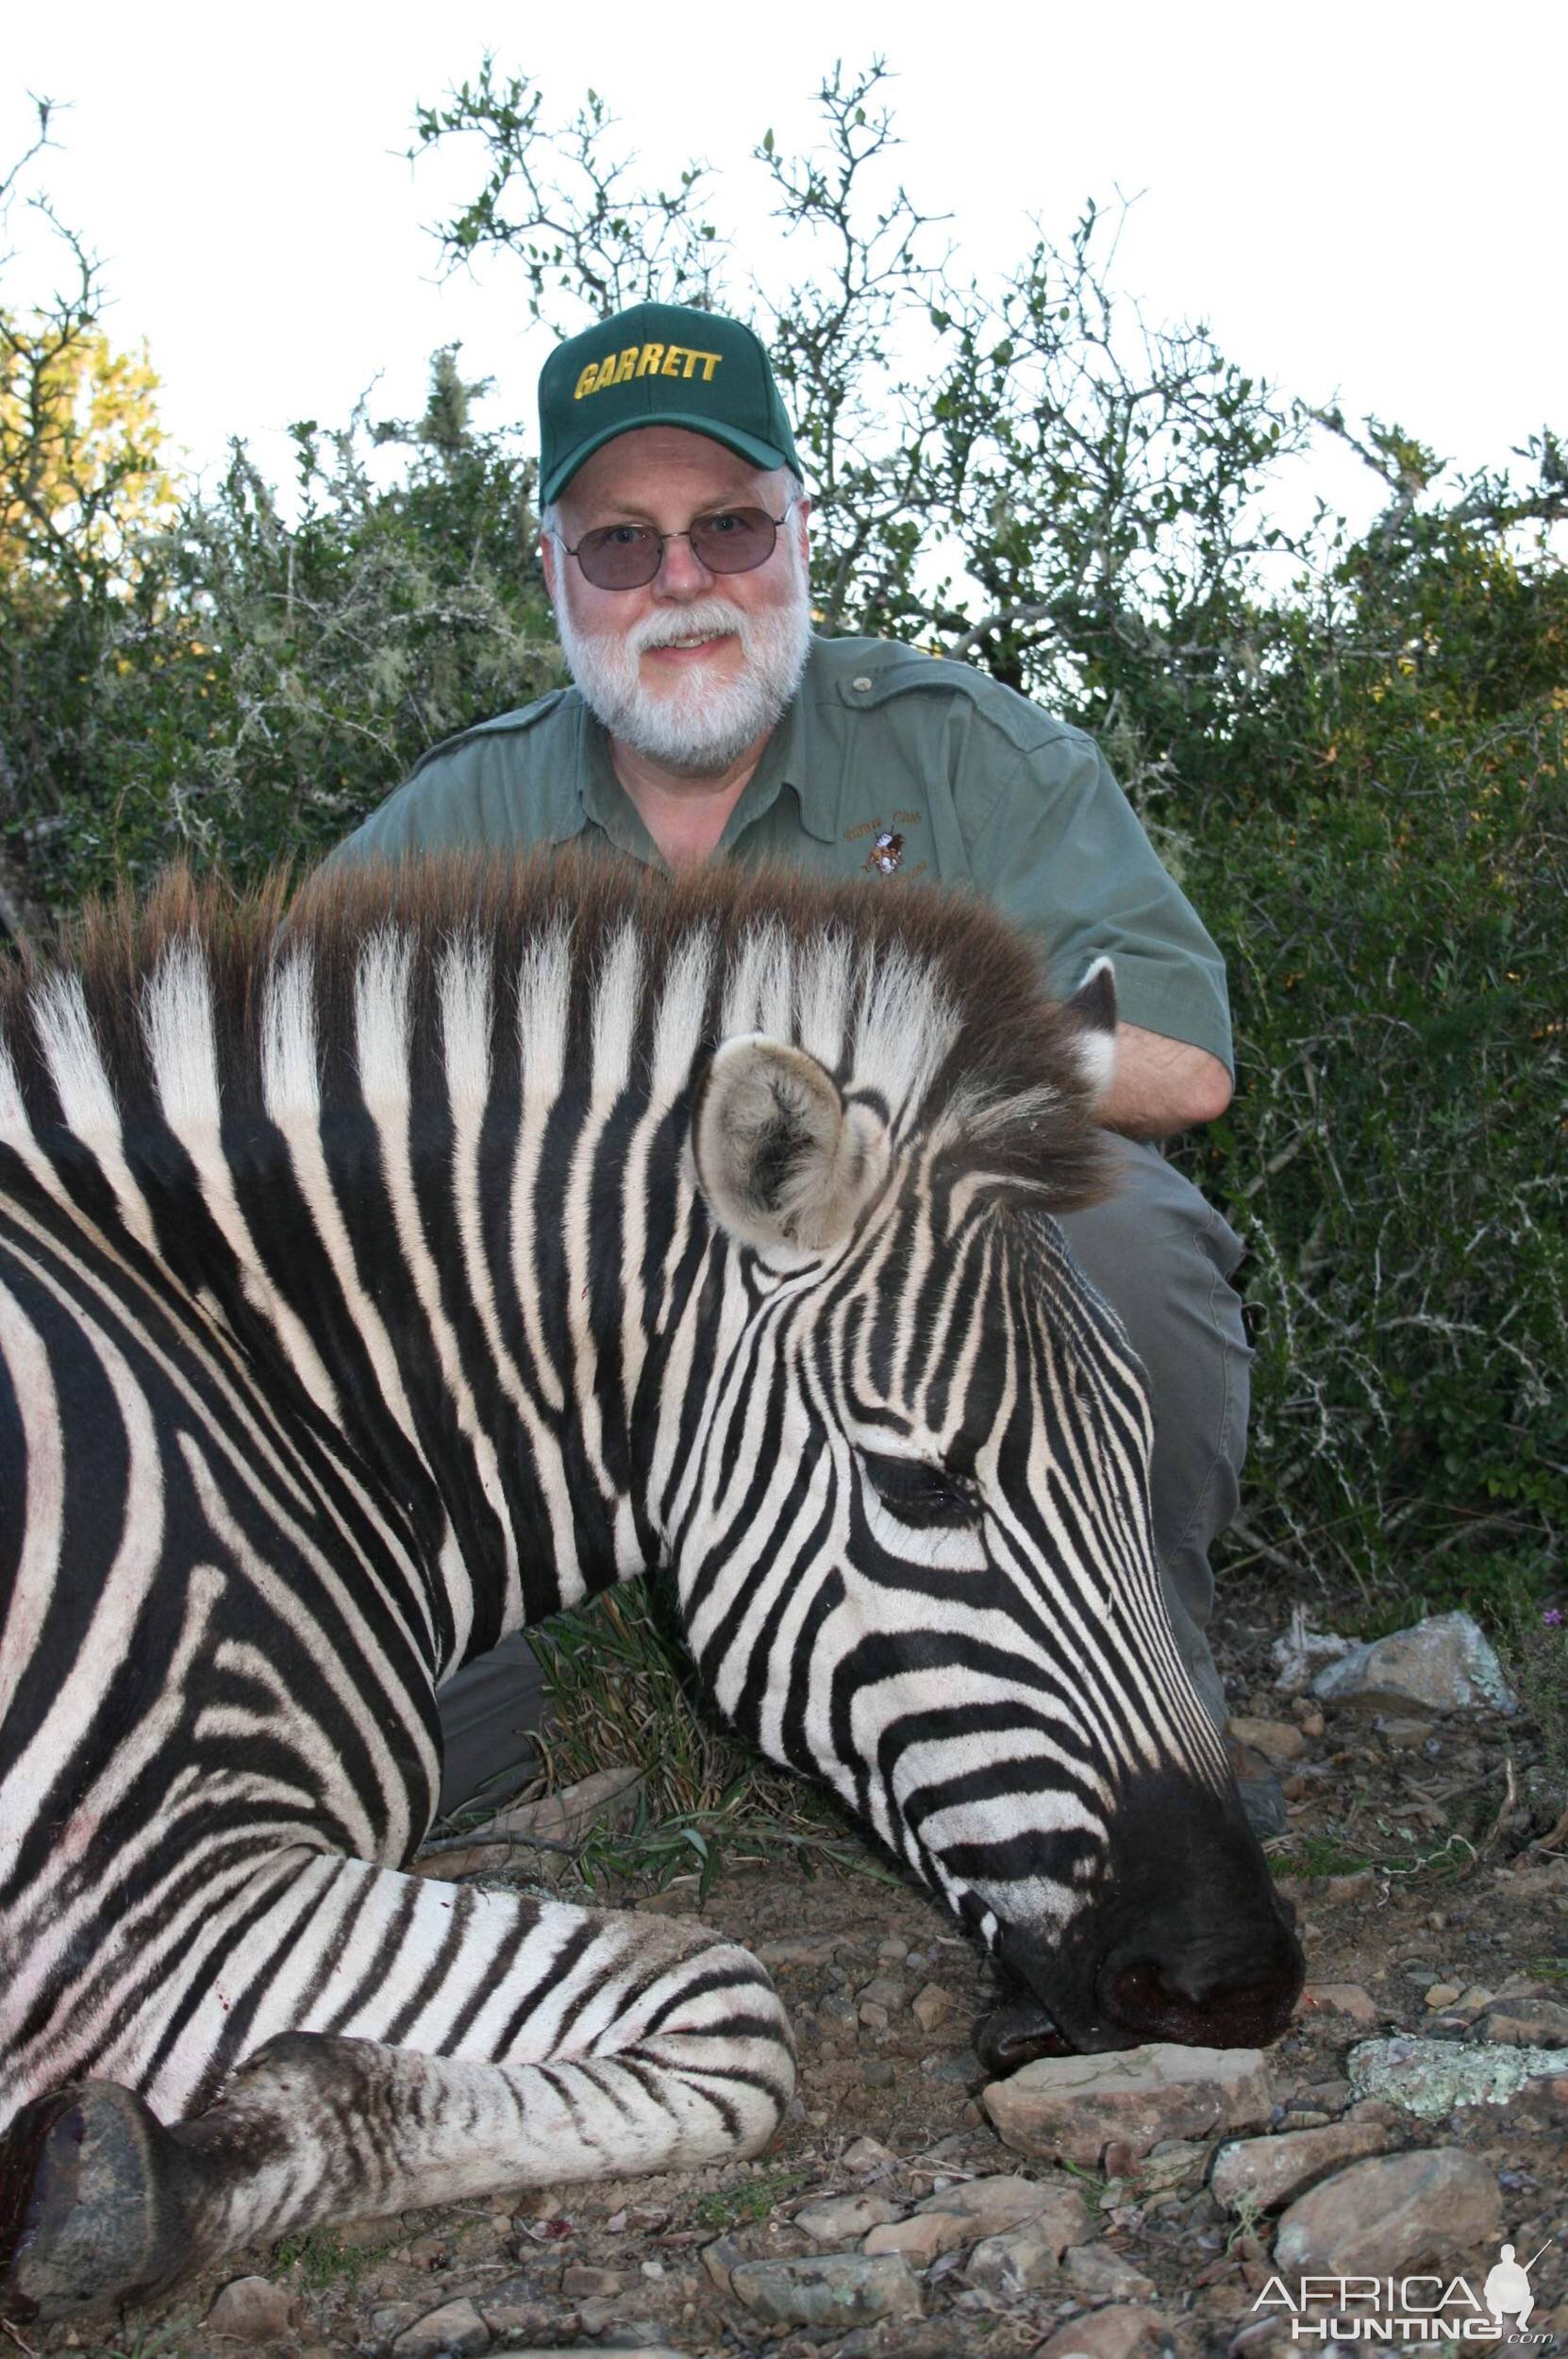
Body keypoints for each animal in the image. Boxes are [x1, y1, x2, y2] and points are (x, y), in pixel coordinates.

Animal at [0, 859, 1292, 2312]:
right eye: (922, 1486)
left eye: (1141, 1440)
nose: (1236, 1983)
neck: (265, 1389)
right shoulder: (146, 1890)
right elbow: (734, 2010)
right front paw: (146, 2188)